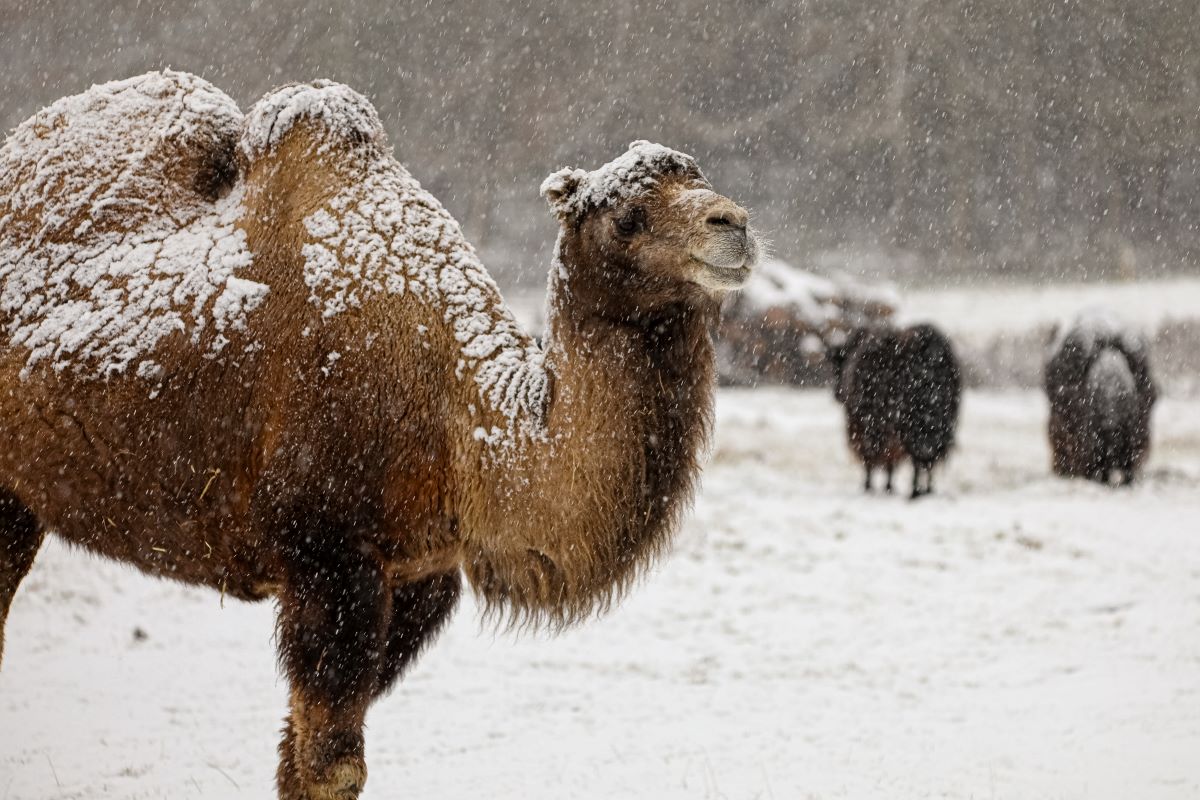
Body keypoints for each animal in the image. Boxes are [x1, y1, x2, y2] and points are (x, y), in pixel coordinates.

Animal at [0, 71, 758, 796]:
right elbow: (331, 767)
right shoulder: (328, 557)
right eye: (626, 217)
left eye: (697, 176)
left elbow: (297, 759)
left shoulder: (419, 576)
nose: (733, 223)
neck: (461, 418)